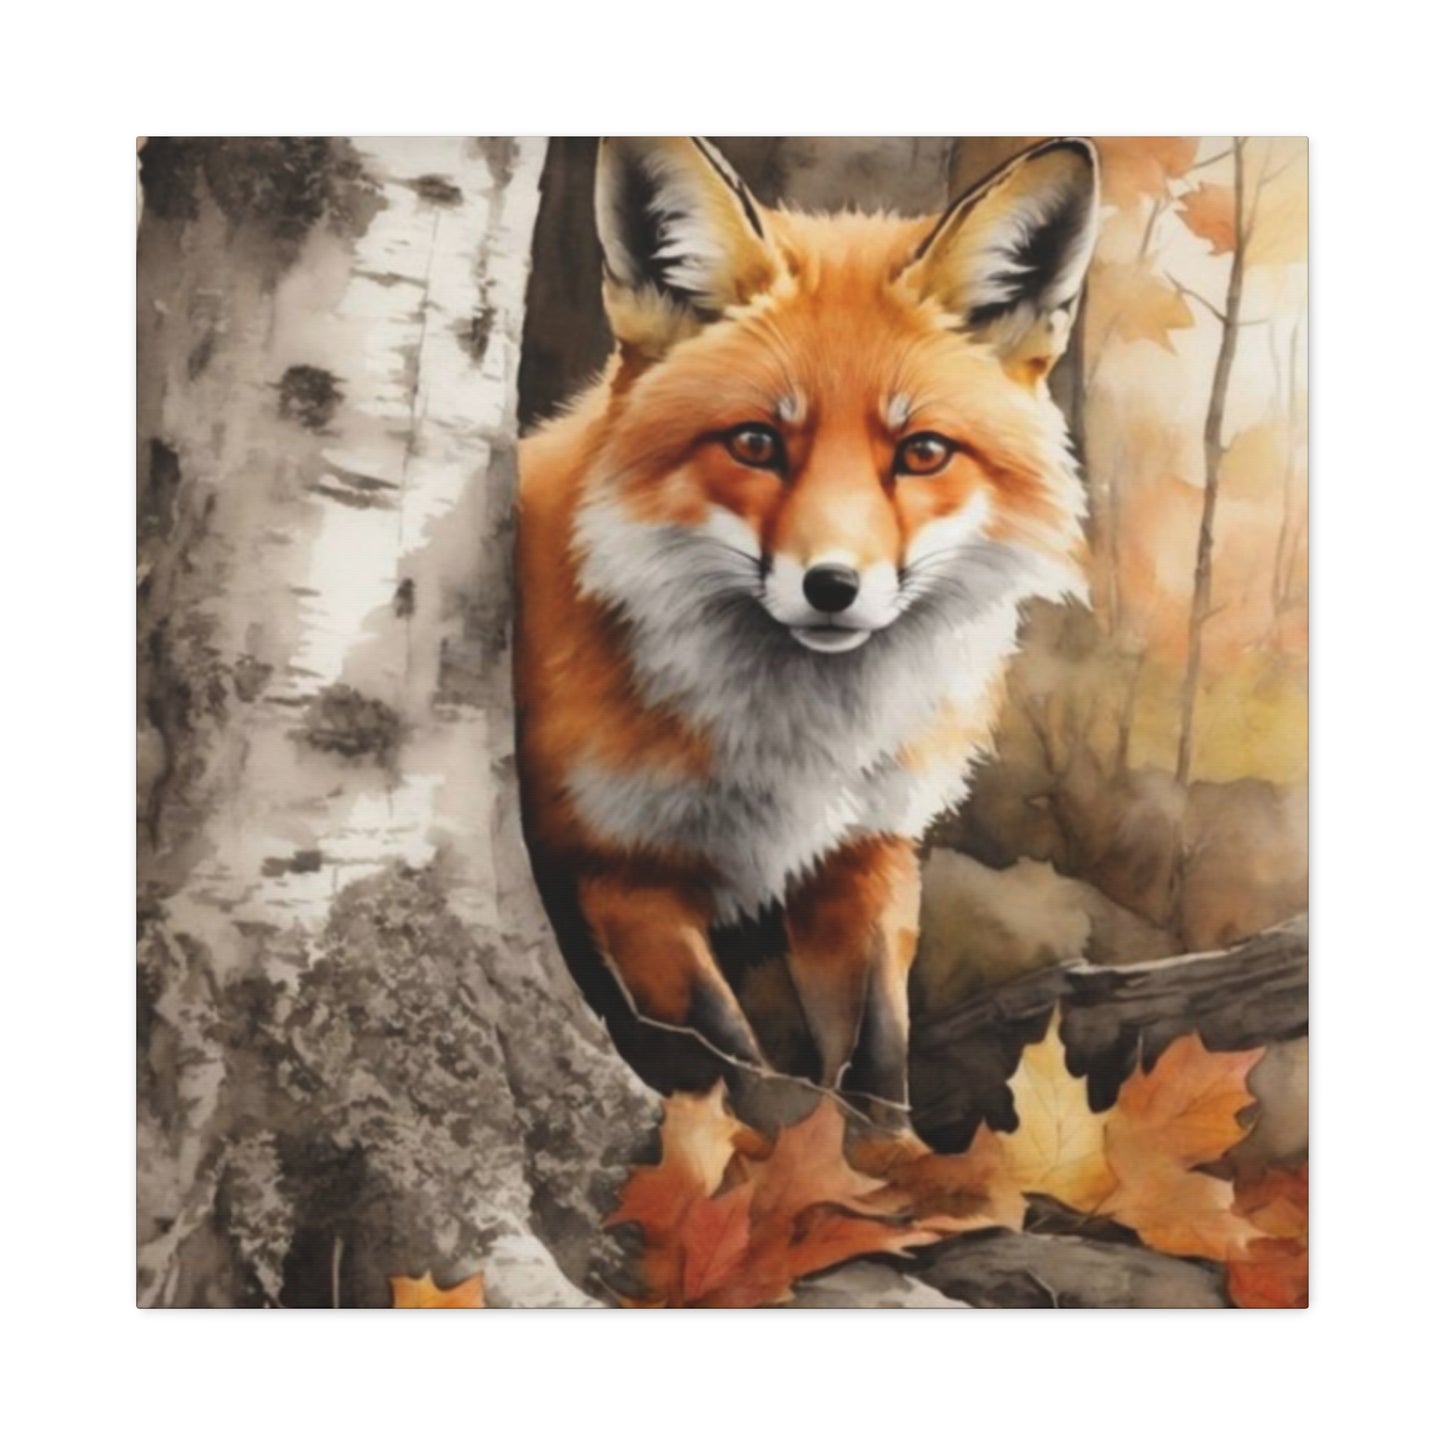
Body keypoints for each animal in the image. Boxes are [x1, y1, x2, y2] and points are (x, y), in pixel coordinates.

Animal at [515, 136, 1098, 1123]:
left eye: (921, 452)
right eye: (756, 443)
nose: (832, 586)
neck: (800, 747)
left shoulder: (866, 853)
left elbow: (876, 1059)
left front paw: (889, 1158)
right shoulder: (620, 870)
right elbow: (740, 1068)